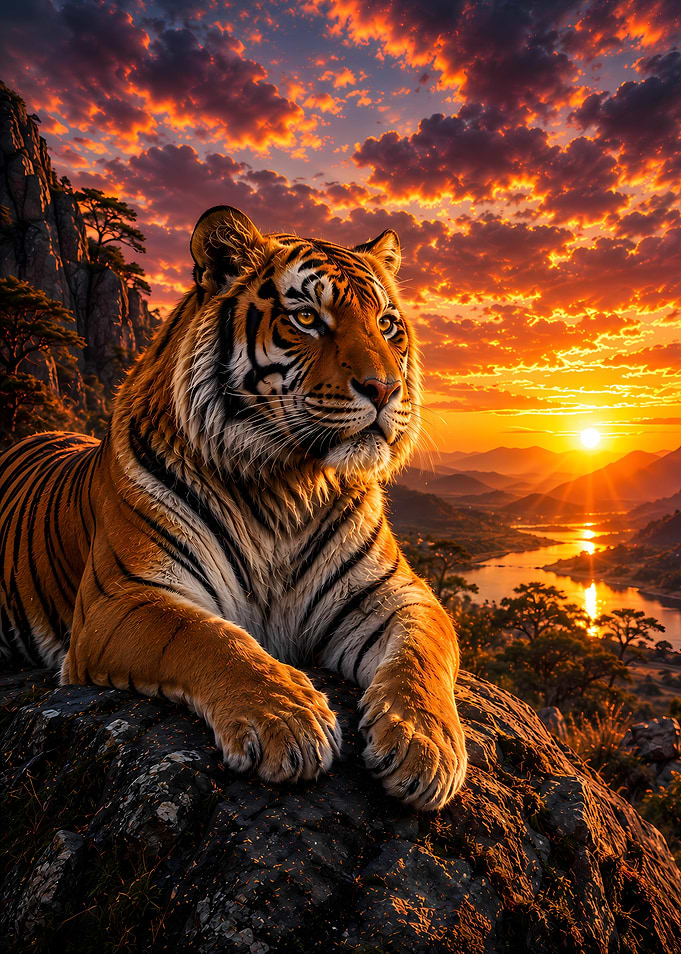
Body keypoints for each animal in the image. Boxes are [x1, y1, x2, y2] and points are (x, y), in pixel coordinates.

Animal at [0, 205, 467, 810]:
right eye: (307, 317)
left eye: (388, 324)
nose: (385, 389)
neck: (289, 486)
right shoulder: (122, 598)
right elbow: (211, 638)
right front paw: (288, 720)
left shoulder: (395, 594)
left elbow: (419, 655)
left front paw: (423, 744)